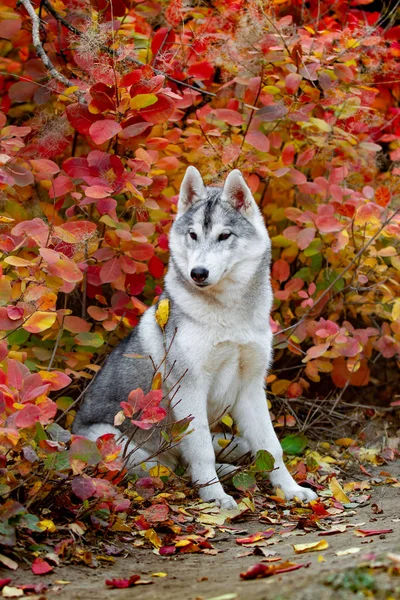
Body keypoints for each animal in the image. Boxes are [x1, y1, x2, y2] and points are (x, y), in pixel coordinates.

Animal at [73, 166, 318, 508]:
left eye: (224, 236)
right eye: (192, 235)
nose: (198, 273)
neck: (229, 316)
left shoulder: (251, 386)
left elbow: (271, 446)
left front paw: (290, 489)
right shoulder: (190, 388)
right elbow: (200, 451)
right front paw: (214, 497)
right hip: (117, 443)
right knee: (166, 468)